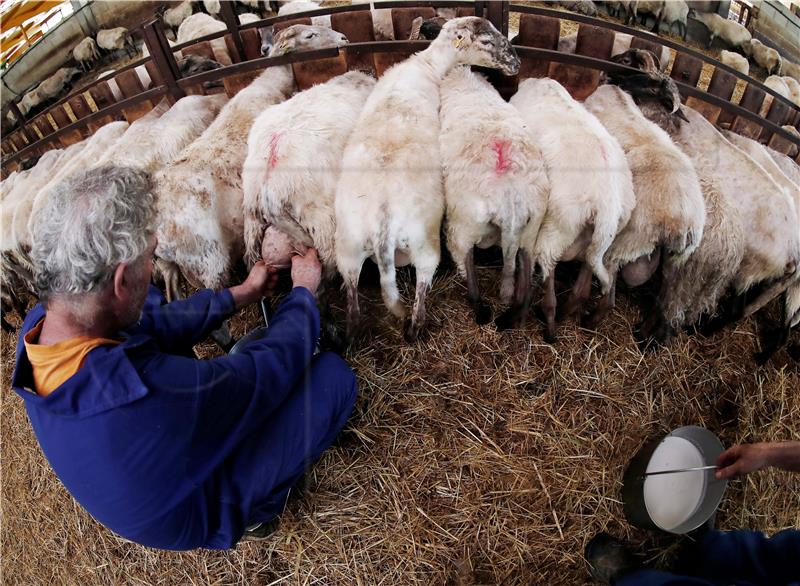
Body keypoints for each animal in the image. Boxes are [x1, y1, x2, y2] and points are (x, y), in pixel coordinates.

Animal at [336, 16, 520, 340]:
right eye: (486, 41)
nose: (517, 63)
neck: (427, 64)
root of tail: (382, 226)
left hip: (347, 249)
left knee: (354, 310)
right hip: (425, 246)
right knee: (419, 301)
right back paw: (417, 327)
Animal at [438, 65, 552, 326]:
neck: (468, 85)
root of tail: (511, 204)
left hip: (463, 229)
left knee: (469, 276)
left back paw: (482, 314)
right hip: (530, 232)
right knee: (524, 290)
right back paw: (509, 320)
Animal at [510, 78, 636, 342]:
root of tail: (608, 204)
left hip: (560, 226)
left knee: (547, 263)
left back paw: (549, 323)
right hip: (602, 237)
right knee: (585, 279)